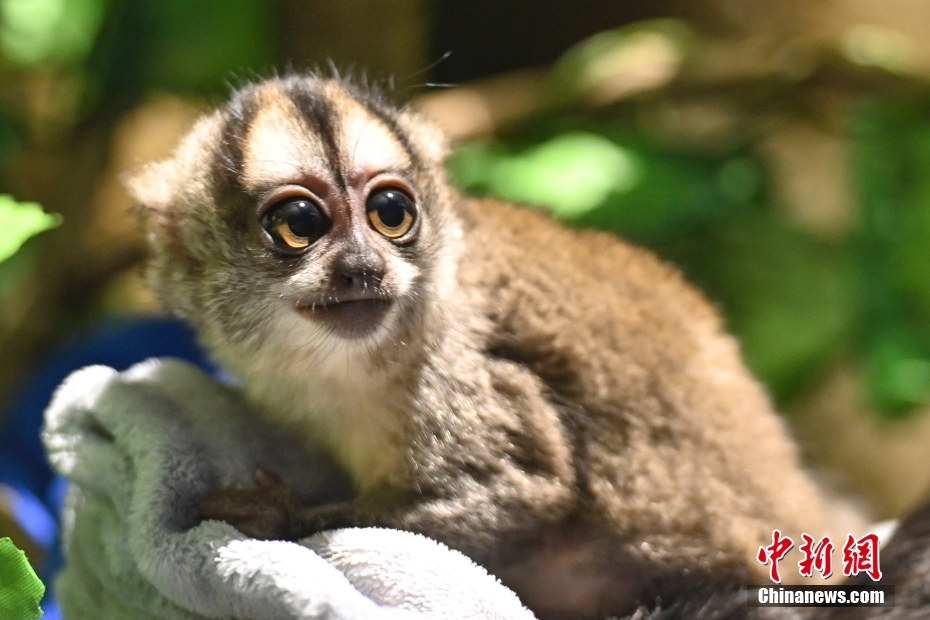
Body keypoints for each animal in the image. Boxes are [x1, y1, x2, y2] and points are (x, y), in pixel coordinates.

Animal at [132, 77, 856, 620]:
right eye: (299, 223)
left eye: (391, 213)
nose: (365, 268)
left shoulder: (455, 373)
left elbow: (523, 489)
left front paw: (276, 516)